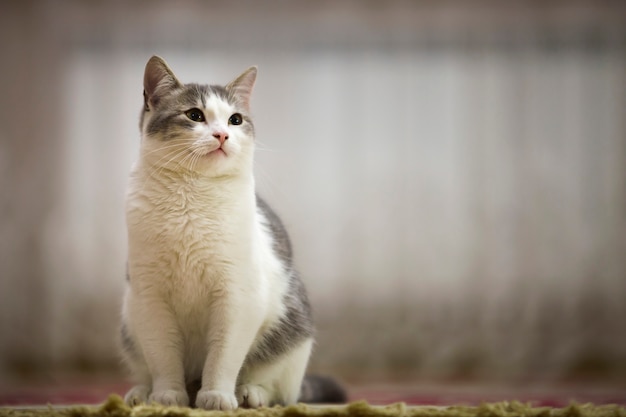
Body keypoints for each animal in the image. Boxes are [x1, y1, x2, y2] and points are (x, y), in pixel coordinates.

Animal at [120, 56, 346, 410]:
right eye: (195, 115)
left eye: (235, 120)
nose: (222, 134)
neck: (192, 198)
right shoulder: (150, 297)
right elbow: (163, 357)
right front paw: (167, 395)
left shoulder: (237, 297)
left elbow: (223, 356)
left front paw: (216, 395)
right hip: (130, 323)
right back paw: (142, 393)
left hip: (293, 333)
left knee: (282, 391)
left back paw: (250, 394)